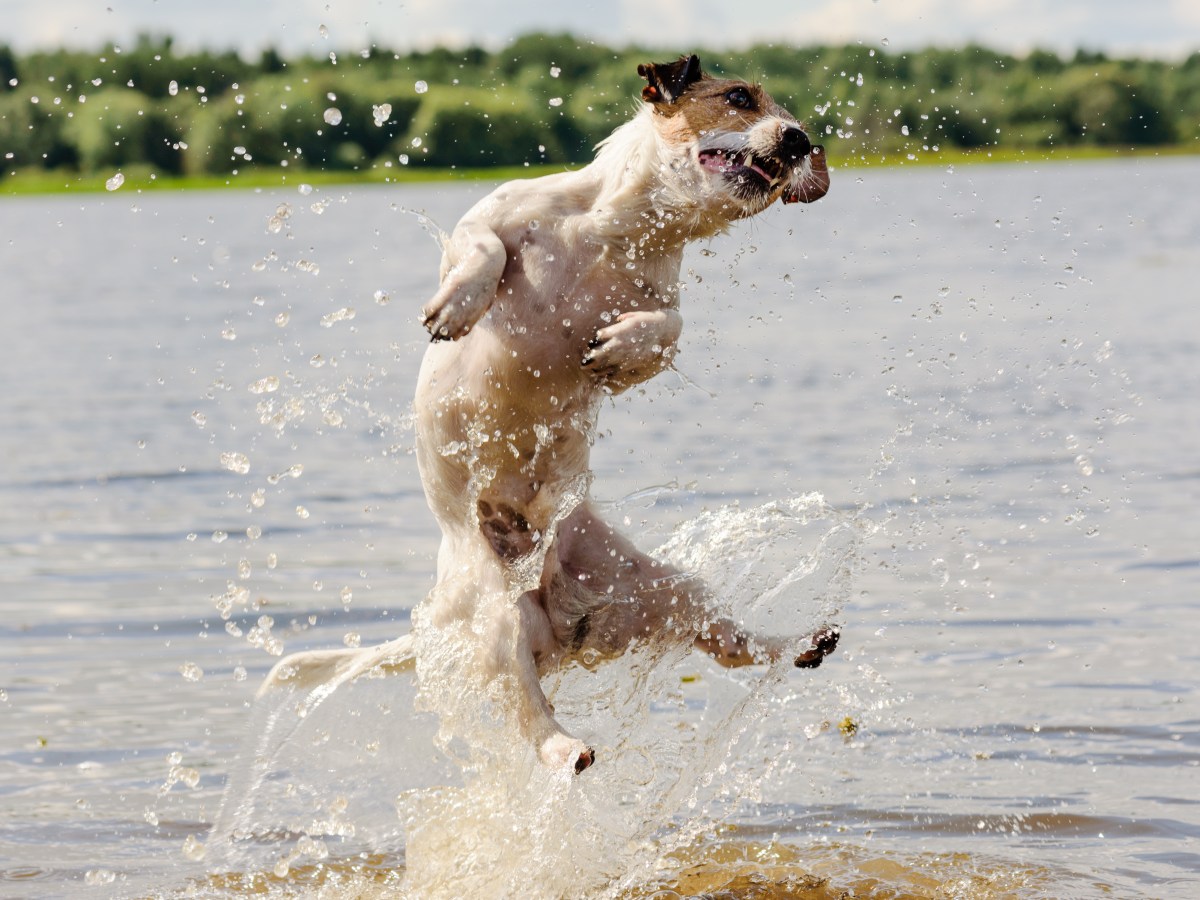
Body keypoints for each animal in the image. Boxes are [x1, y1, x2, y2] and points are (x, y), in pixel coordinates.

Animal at [260, 56, 835, 777]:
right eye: (738, 97)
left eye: (791, 119)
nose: (799, 139)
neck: (614, 234)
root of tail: (560, 621)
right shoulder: (490, 217)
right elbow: (484, 249)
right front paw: (460, 305)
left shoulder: (662, 298)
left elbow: (669, 330)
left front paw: (620, 349)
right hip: (498, 622)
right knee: (531, 716)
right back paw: (568, 747)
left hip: (665, 586)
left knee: (733, 643)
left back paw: (801, 642)